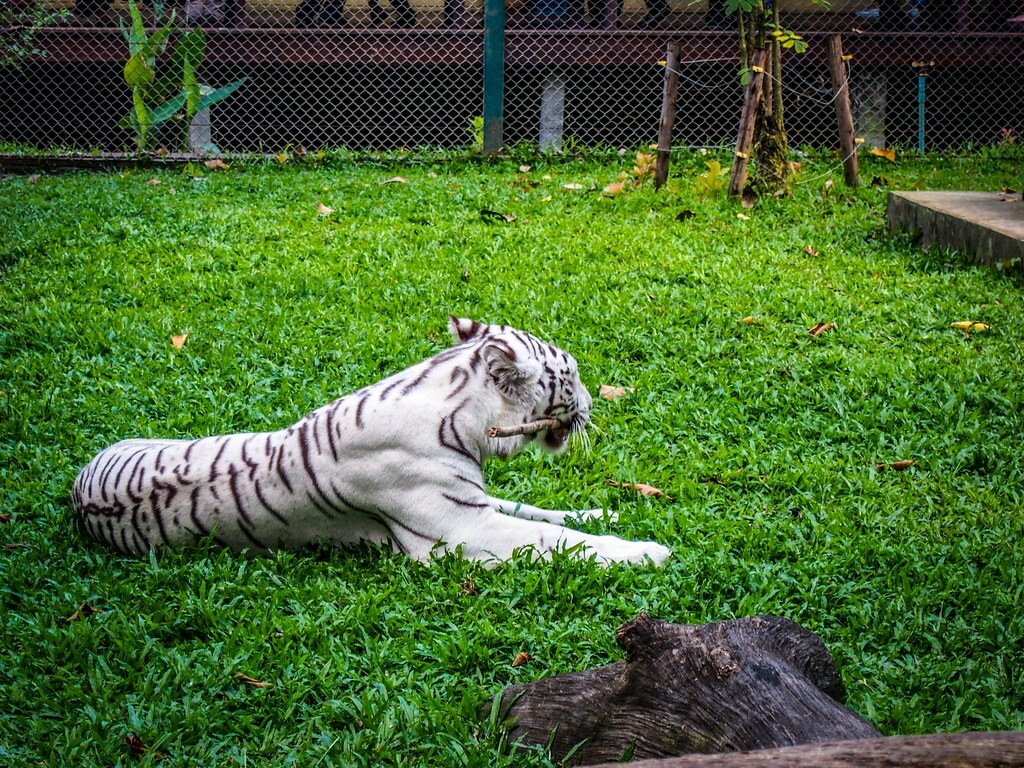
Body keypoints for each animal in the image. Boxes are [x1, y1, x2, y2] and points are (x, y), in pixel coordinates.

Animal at [72, 317, 671, 567]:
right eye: (570, 376)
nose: (594, 401)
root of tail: (78, 490)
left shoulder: (472, 500)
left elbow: (540, 512)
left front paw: (601, 511)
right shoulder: (462, 529)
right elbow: (559, 541)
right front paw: (650, 552)